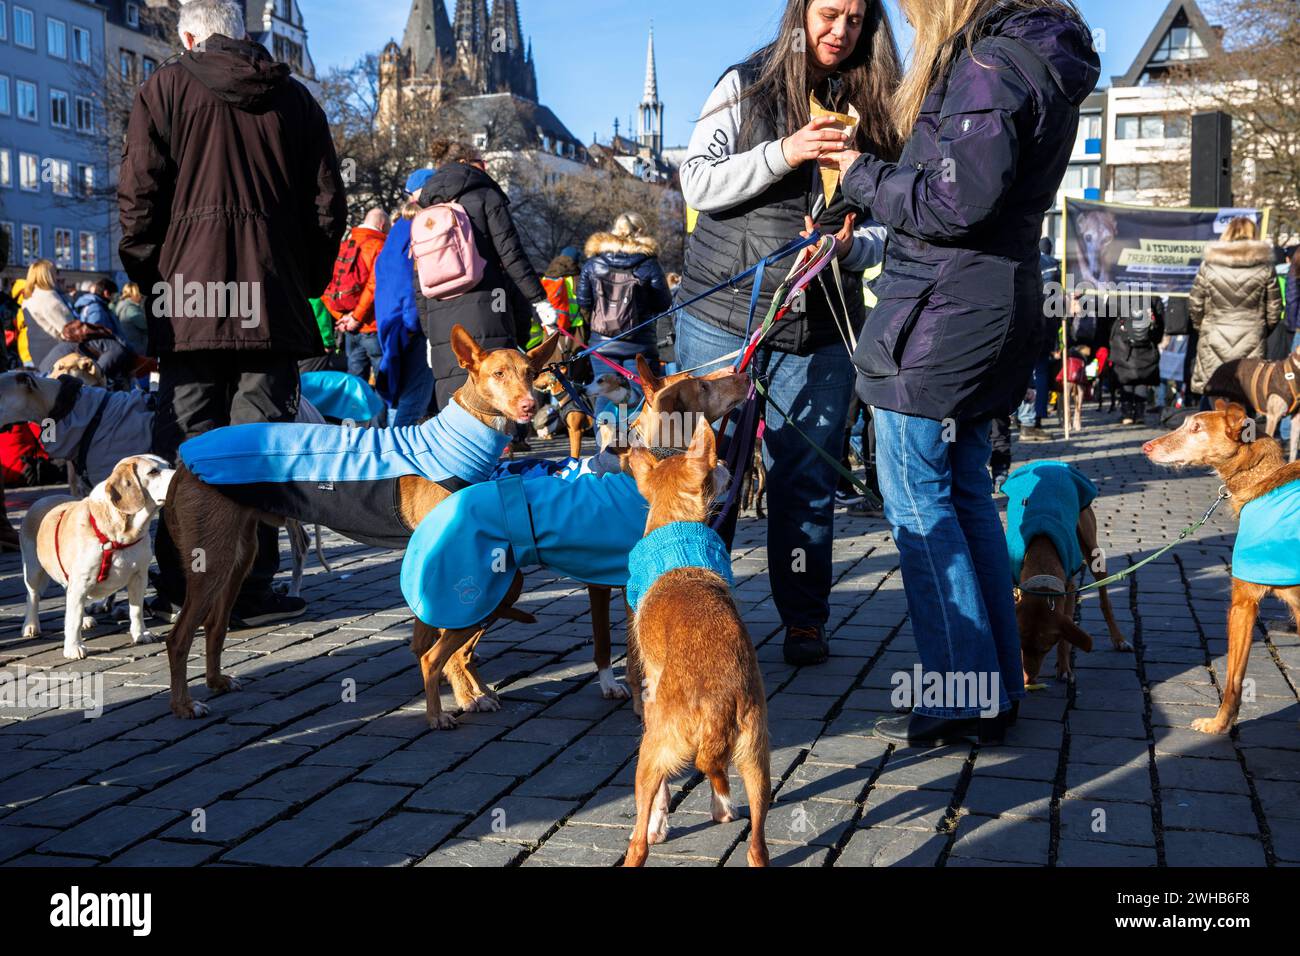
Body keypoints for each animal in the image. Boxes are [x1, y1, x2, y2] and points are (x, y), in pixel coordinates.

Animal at [621, 421, 764, 868]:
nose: (727, 463)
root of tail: (716, 705)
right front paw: (722, 809)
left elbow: (661, 799)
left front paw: (660, 821)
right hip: (757, 759)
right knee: (757, 846)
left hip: (650, 754)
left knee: (639, 841)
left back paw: (646, 835)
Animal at [1003, 463, 1128, 686]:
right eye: (1020, 643)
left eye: (1045, 648)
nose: (1028, 680)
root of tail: (1052, 464)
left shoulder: (1068, 590)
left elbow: (1065, 636)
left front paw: (1064, 668)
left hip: (1092, 550)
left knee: (1105, 601)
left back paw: (1119, 639)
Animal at [1149, 400, 1300, 738]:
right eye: (1185, 424)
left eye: (1196, 428)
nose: (1146, 446)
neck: (1261, 480)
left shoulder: (1243, 603)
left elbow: (1233, 680)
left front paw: (1219, 723)